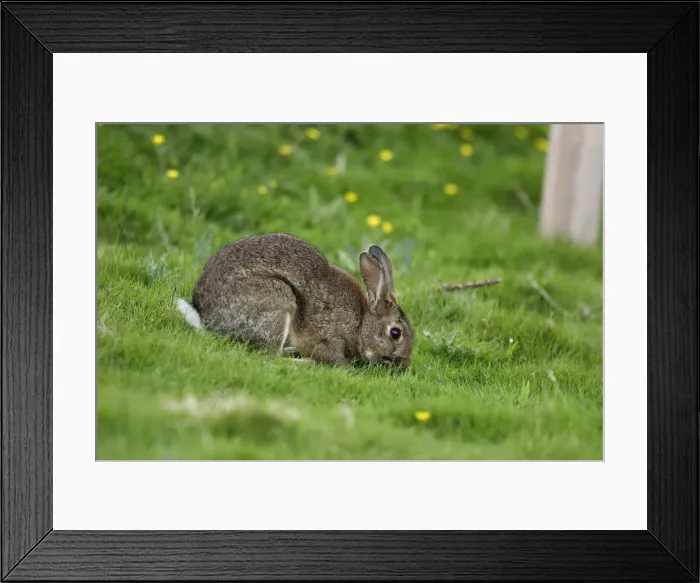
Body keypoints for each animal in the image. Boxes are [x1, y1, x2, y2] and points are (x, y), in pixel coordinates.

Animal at [176, 232, 413, 370]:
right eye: (395, 333)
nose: (404, 363)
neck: (361, 323)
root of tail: (206, 319)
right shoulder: (328, 337)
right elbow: (334, 356)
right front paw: (350, 369)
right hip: (279, 302)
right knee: (270, 356)